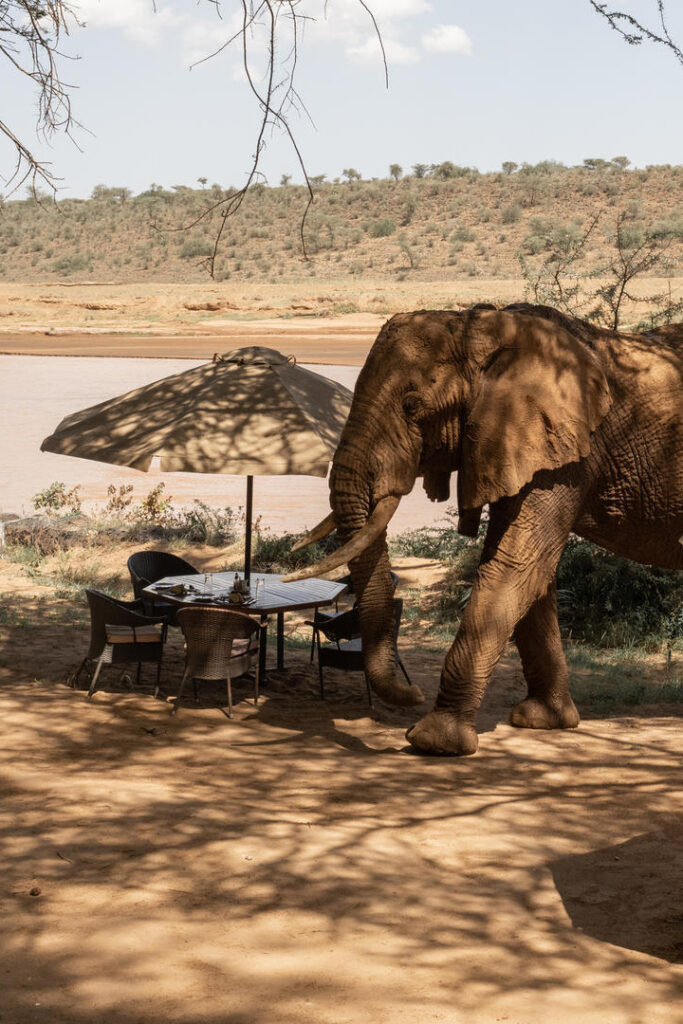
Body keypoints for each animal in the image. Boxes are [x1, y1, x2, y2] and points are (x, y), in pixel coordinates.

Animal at [285, 303, 683, 756]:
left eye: (411, 406)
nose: (412, 694)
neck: (485, 328)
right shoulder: (520, 444)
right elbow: (531, 572)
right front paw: (543, 720)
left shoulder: (568, 453)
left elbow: (515, 565)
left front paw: (434, 741)